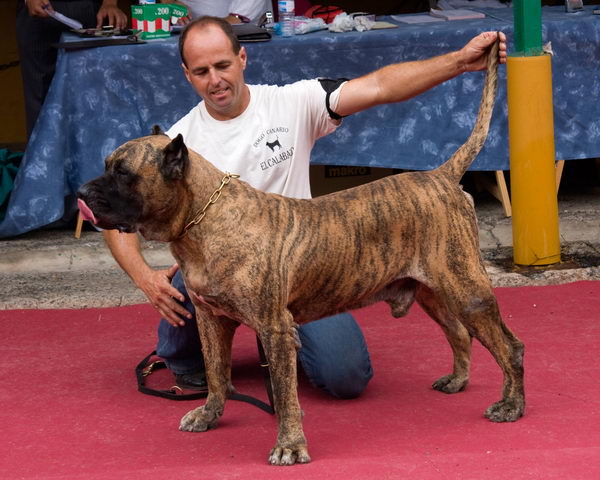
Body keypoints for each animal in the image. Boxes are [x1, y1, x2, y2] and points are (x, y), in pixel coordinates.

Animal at [77, 39, 524, 466]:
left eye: (123, 172)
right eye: (107, 164)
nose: (80, 192)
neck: (202, 217)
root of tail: (441, 176)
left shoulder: (275, 329)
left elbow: (284, 392)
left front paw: (290, 445)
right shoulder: (210, 318)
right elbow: (218, 373)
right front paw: (209, 413)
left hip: (467, 290)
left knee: (509, 346)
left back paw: (510, 404)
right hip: (433, 290)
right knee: (459, 333)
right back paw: (458, 380)